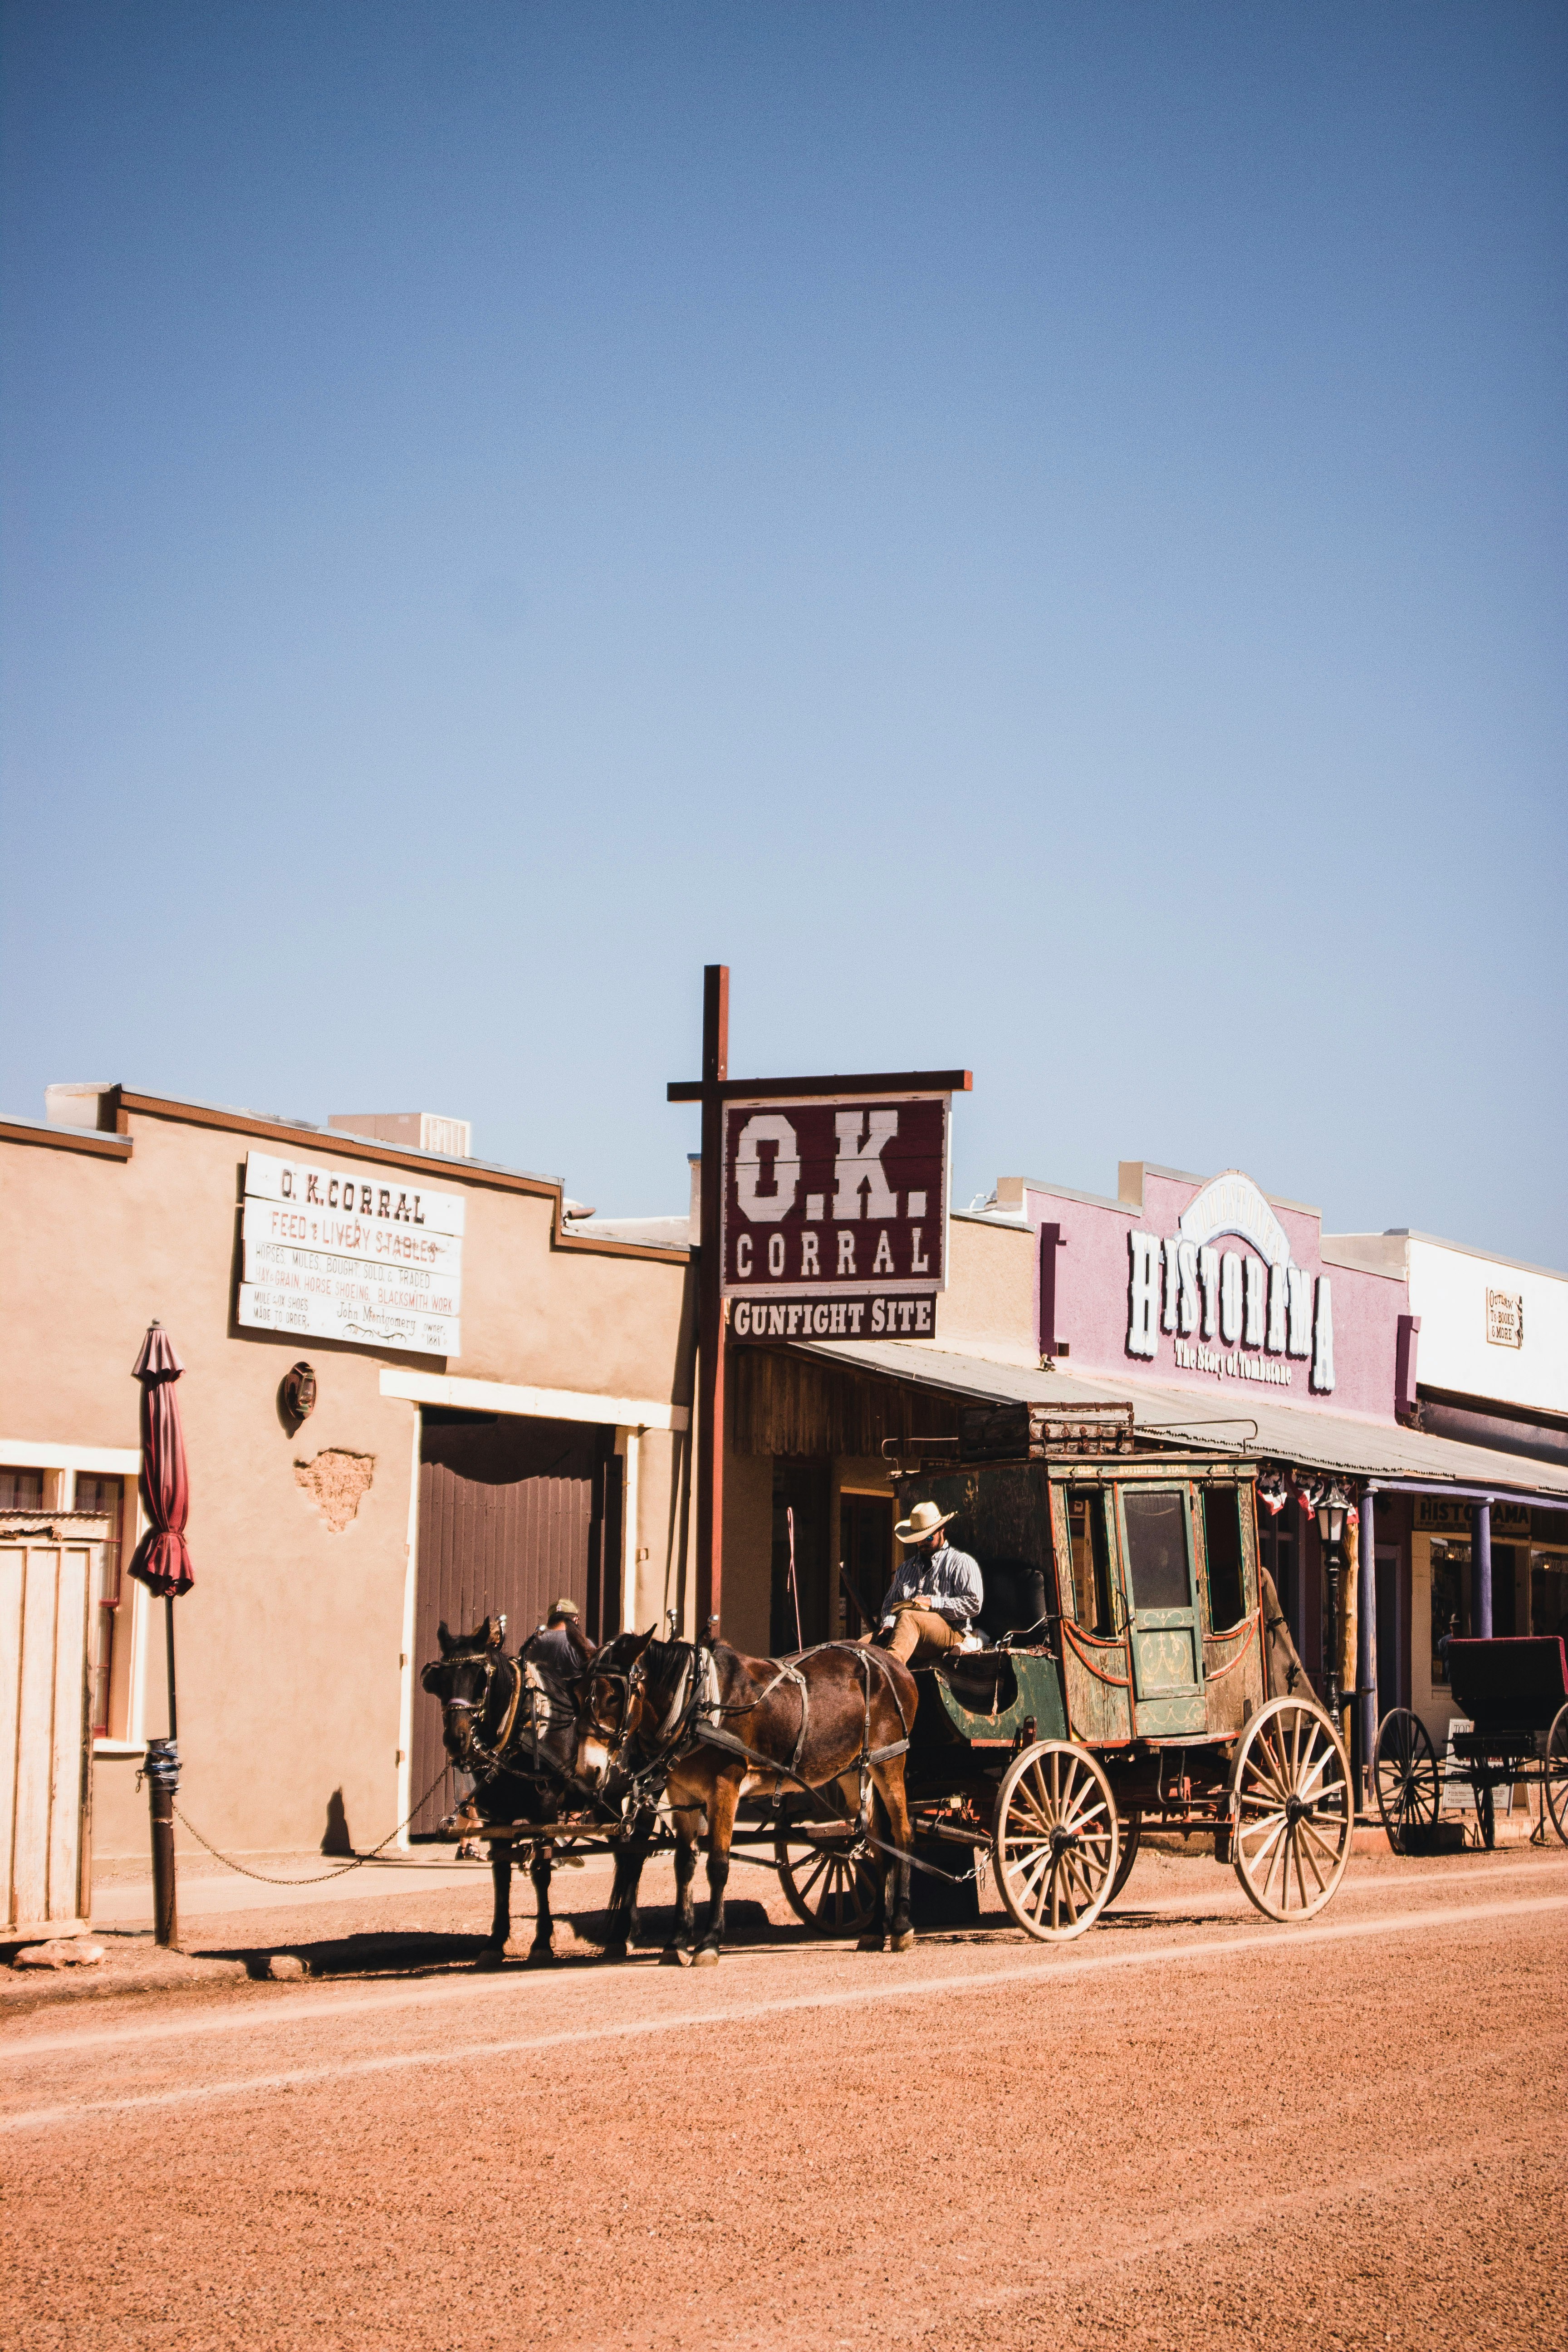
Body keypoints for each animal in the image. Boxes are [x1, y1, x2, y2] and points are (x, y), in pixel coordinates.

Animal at [423, 1618, 594, 1966]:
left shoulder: (545, 1810)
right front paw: (496, 1941)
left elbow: (541, 1871)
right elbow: (501, 1875)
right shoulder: (498, 1815)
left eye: (480, 1679)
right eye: (441, 1680)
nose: (456, 1739)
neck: (523, 1725)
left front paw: (542, 1943)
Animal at [576, 1637, 921, 1966]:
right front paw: (676, 1943)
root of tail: (892, 1662)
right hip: (853, 1771)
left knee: (902, 1834)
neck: (698, 1706)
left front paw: (709, 1943)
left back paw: (901, 1926)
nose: (586, 1771)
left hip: (889, 1761)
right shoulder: (683, 1795)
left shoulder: (724, 1789)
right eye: (580, 1695)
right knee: (878, 1844)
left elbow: (718, 1865)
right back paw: (875, 1930)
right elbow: (684, 1867)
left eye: (613, 1697)